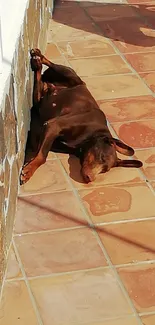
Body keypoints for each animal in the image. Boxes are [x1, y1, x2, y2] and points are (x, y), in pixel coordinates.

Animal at [20, 48, 142, 185]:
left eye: (105, 170)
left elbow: (39, 147)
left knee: (39, 80)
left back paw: (37, 64)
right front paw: (28, 171)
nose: (90, 179)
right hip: (69, 74)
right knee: (52, 64)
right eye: (101, 157)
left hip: (40, 99)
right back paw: (38, 56)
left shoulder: (56, 141)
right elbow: (42, 156)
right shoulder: (54, 125)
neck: (89, 137)